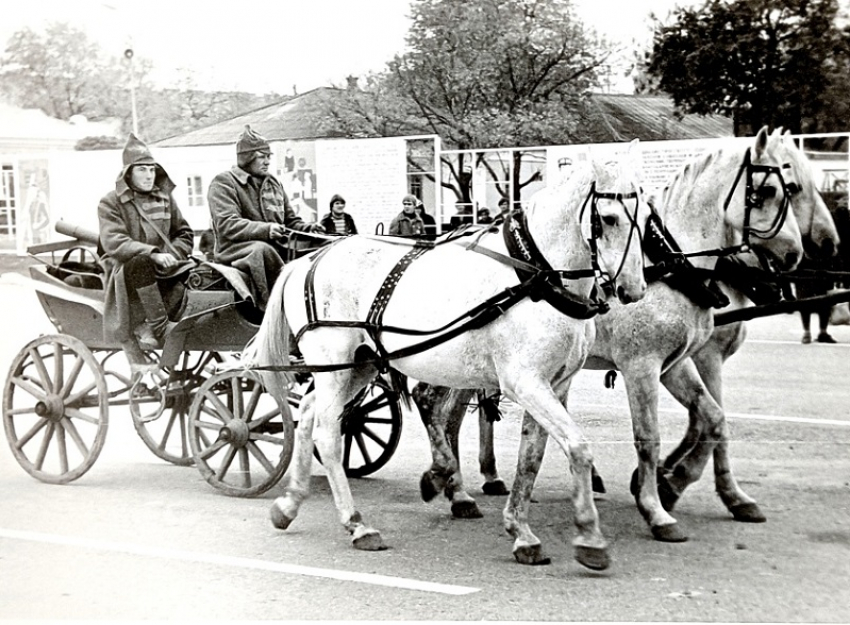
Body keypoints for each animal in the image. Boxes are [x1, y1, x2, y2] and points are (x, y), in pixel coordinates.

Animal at [242, 143, 644, 572]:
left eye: (646, 215)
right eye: (609, 218)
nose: (633, 289)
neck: (536, 274)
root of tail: (308, 259)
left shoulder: (556, 384)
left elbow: (532, 458)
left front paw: (522, 530)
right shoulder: (525, 383)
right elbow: (579, 448)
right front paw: (589, 536)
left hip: (357, 365)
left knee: (308, 415)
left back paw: (290, 503)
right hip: (334, 364)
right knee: (327, 435)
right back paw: (357, 524)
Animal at [414, 125, 820, 544]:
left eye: (792, 188)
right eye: (772, 191)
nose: (795, 254)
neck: (670, 262)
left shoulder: (675, 363)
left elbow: (713, 418)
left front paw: (704, 488)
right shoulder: (645, 364)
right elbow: (649, 436)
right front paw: (657, 504)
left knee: (447, 412)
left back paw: (455, 484)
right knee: (434, 405)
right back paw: (453, 485)